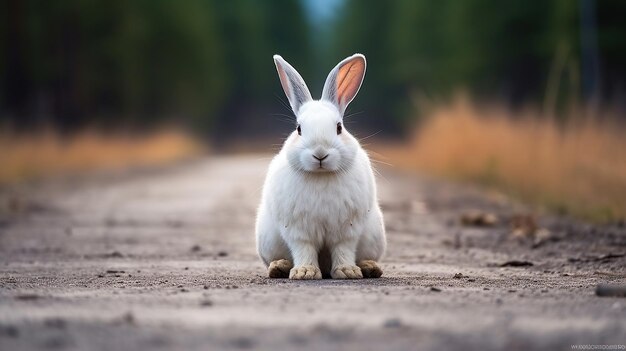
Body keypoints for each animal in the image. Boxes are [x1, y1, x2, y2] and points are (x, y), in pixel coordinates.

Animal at [255, 54, 386, 280]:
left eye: (339, 127)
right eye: (299, 129)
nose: (320, 154)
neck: (321, 174)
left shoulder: (347, 230)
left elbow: (343, 249)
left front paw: (347, 271)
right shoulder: (298, 230)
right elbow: (304, 248)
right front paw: (304, 272)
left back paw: (369, 267)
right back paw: (279, 267)